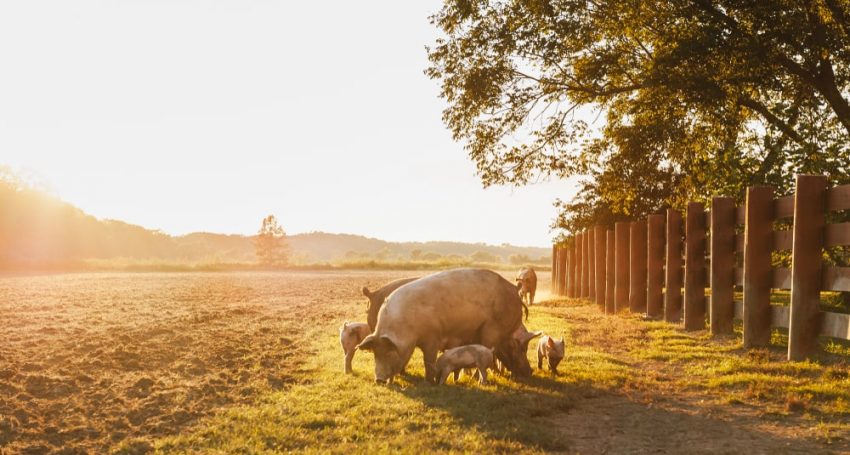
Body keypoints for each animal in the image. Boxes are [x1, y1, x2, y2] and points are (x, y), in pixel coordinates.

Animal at [354, 268, 532, 386]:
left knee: (486, 352)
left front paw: (429, 382)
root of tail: (514, 290)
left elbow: (429, 360)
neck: (407, 328)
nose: (378, 380)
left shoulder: (433, 337)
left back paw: (475, 379)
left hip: (491, 329)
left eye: (390, 351)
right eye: (375, 353)